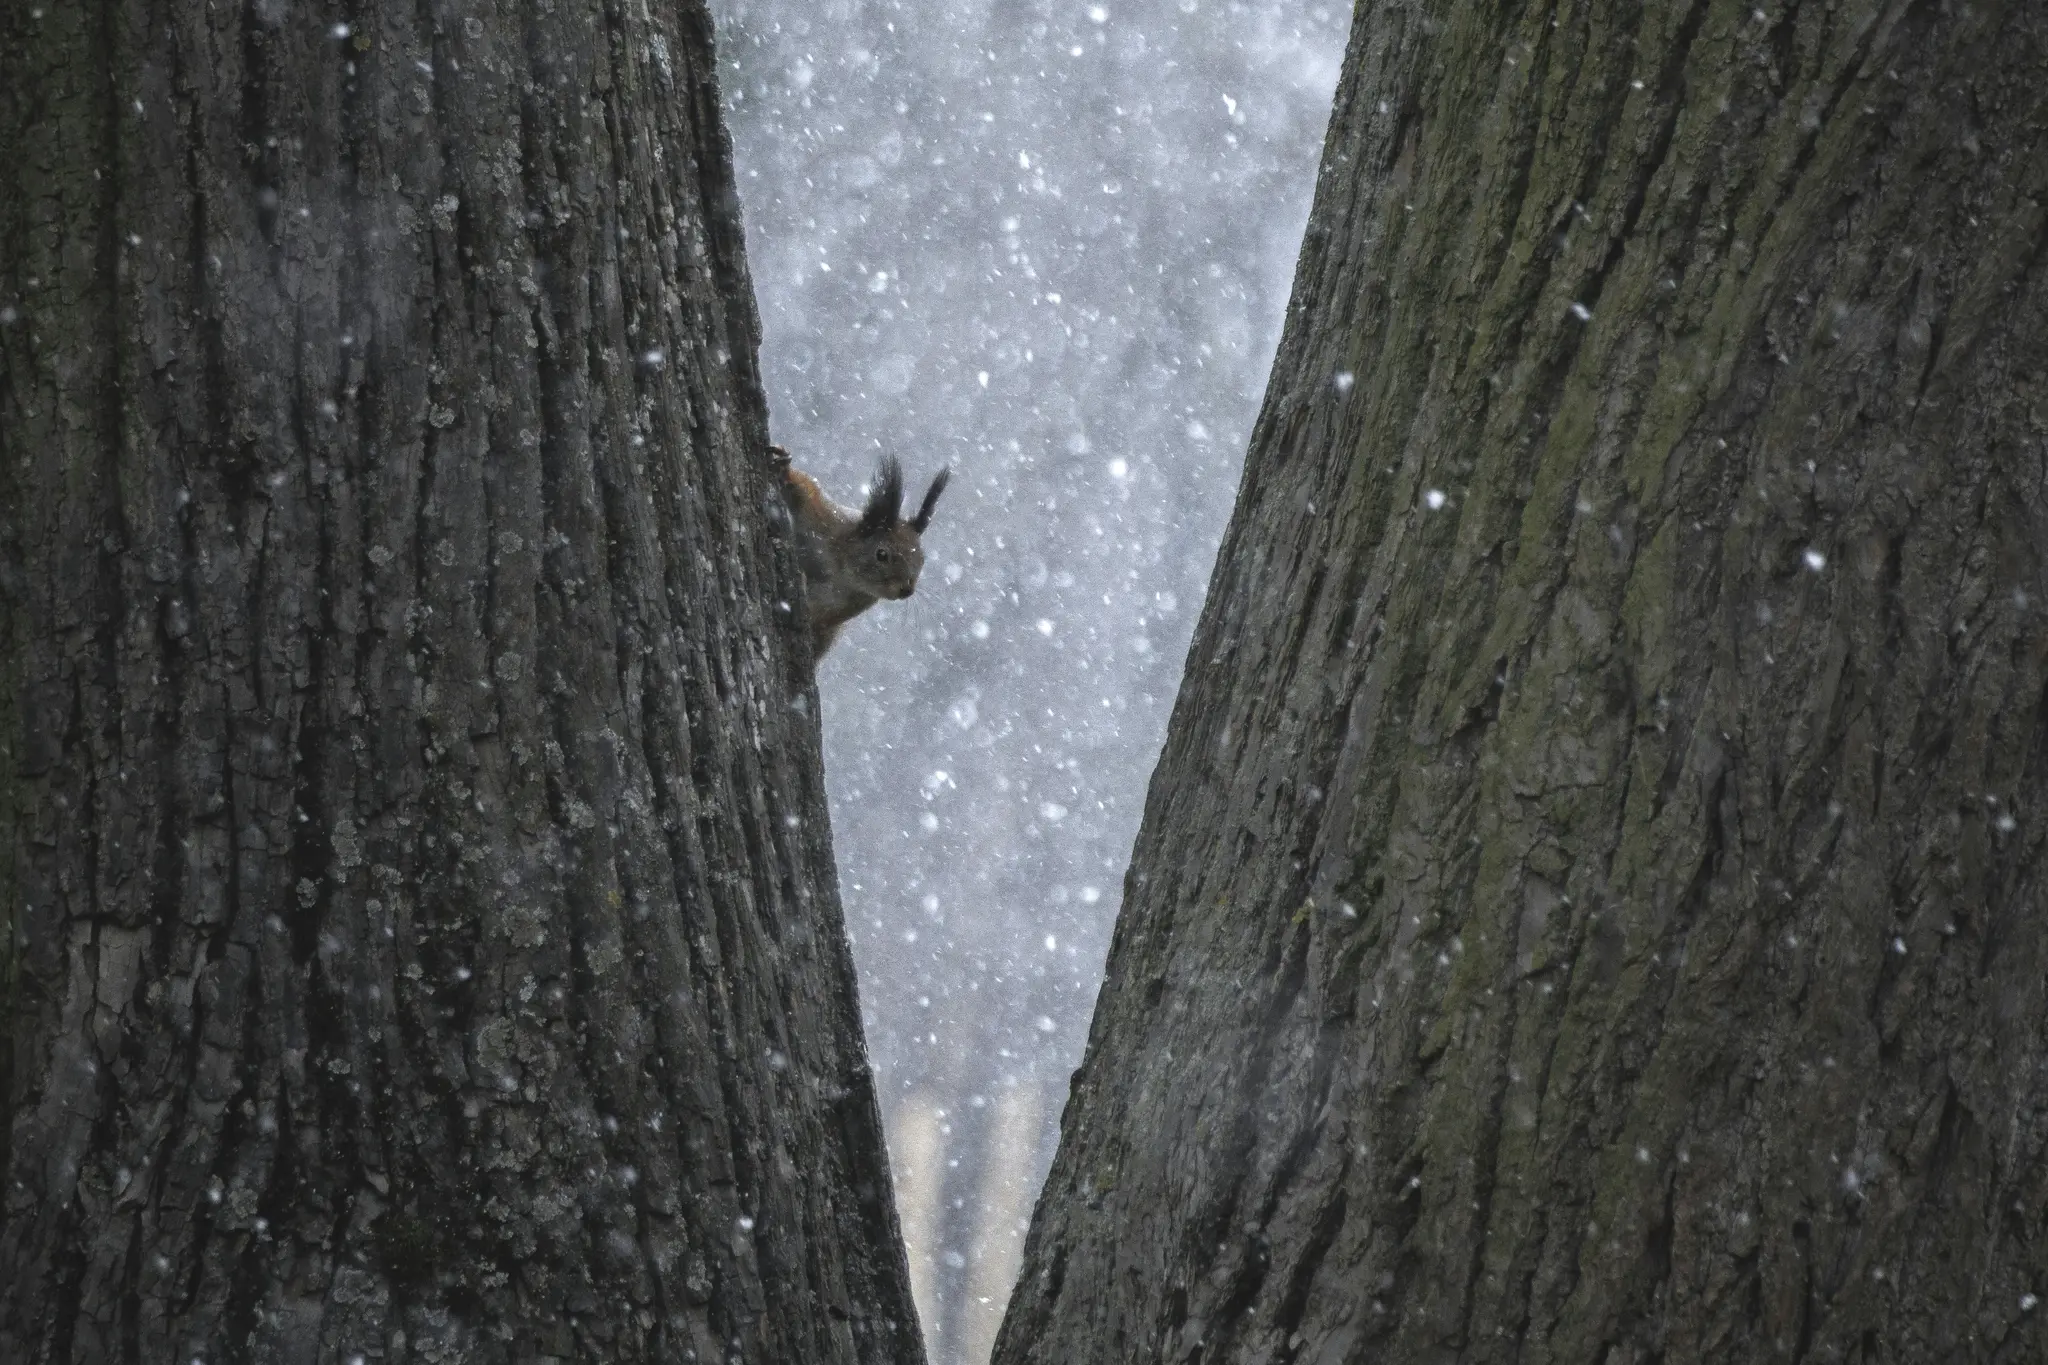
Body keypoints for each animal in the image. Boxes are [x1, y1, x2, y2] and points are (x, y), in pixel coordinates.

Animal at [770, 444, 950, 658]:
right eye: (882, 554)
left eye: (922, 560)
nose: (907, 590)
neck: (842, 568)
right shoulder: (823, 518)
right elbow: (805, 490)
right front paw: (784, 464)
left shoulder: (852, 604)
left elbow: (823, 616)